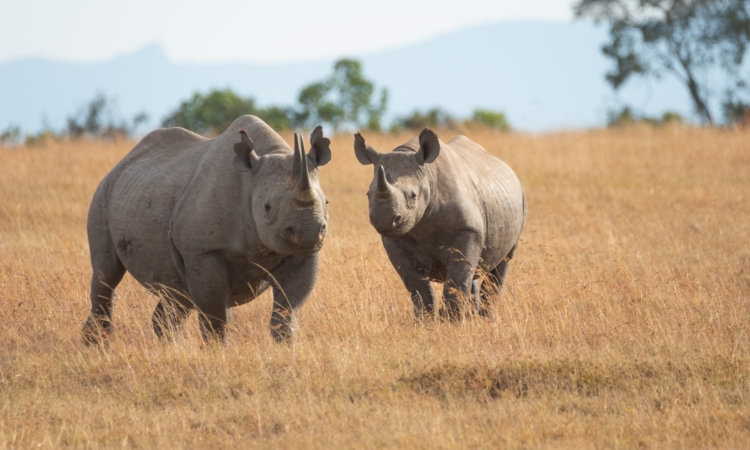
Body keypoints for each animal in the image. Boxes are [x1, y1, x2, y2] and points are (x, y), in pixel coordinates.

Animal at [82, 115, 331, 344]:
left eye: (326, 203)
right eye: (267, 208)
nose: (308, 233)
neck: (250, 182)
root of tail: (121, 163)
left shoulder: (300, 254)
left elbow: (287, 310)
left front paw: (287, 348)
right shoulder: (203, 251)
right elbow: (215, 315)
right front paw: (217, 352)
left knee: (177, 293)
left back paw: (175, 349)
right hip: (103, 193)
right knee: (107, 274)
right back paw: (97, 345)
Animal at [354, 128, 526, 319]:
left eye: (413, 196)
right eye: (368, 195)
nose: (383, 220)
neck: (428, 175)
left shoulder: (467, 230)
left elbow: (457, 279)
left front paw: (451, 322)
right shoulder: (394, 240)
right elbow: (417, 287)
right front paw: (424, 322)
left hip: (519, 200)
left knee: (501, 264)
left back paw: (486, 320)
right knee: (472, 273)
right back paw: (472, 318)